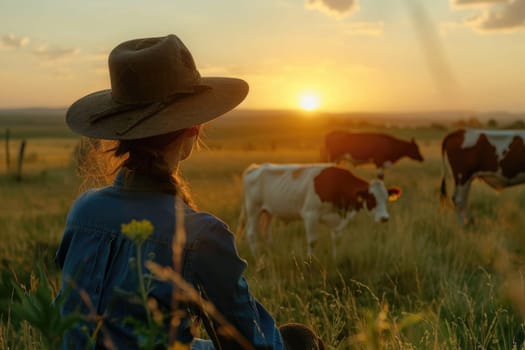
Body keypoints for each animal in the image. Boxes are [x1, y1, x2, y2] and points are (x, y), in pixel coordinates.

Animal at [235, 162, 400, 258]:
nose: (384, 218)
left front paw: (335, 260)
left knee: (266, 231)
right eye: (372, 199)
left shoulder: (338, 220)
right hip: (253, 210)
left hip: (268, 211)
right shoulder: (310, 215)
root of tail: (255, 167)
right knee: (251, 234)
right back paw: (257, 258)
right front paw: (310, 263)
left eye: (386, 198)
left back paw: (272, 251)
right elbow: (312, 241)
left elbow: (337, 240)